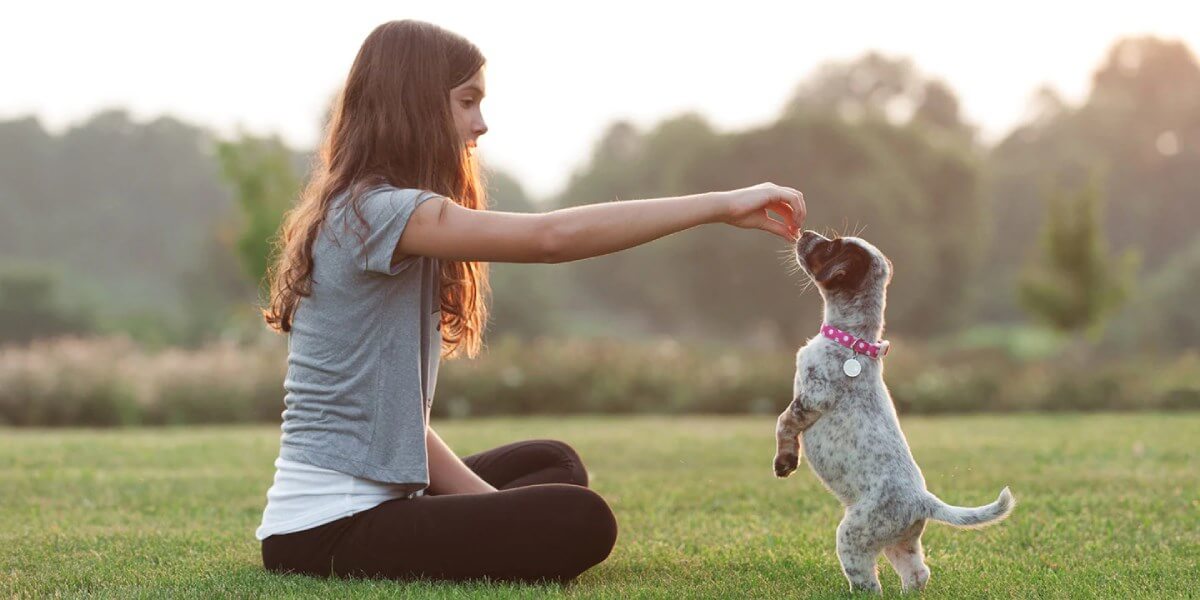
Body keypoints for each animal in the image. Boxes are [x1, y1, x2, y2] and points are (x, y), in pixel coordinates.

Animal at [772, 231, 1017, 592]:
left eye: (830, 246)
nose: (805, 234)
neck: (852, 341)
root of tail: (922, 500)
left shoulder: (812, 398)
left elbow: (783, 423)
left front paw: (785, 462)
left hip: (853, 535)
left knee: (867, 583)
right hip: (900, 543)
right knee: (918, 573)